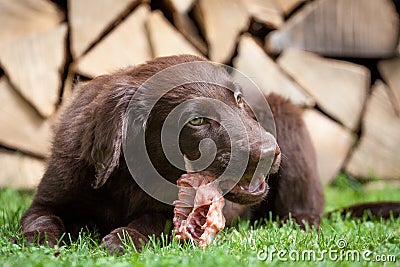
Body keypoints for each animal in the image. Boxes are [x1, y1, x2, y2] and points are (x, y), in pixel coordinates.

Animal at [19, 55, 324, 253]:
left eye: (238, 99)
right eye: (196, 121)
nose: (269, 153)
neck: (129, 177)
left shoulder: (169, 213)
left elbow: (151, 220)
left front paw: (124, 238)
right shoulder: (50, 195)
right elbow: (40, 217)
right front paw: (39, 241)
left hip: (288, 117)